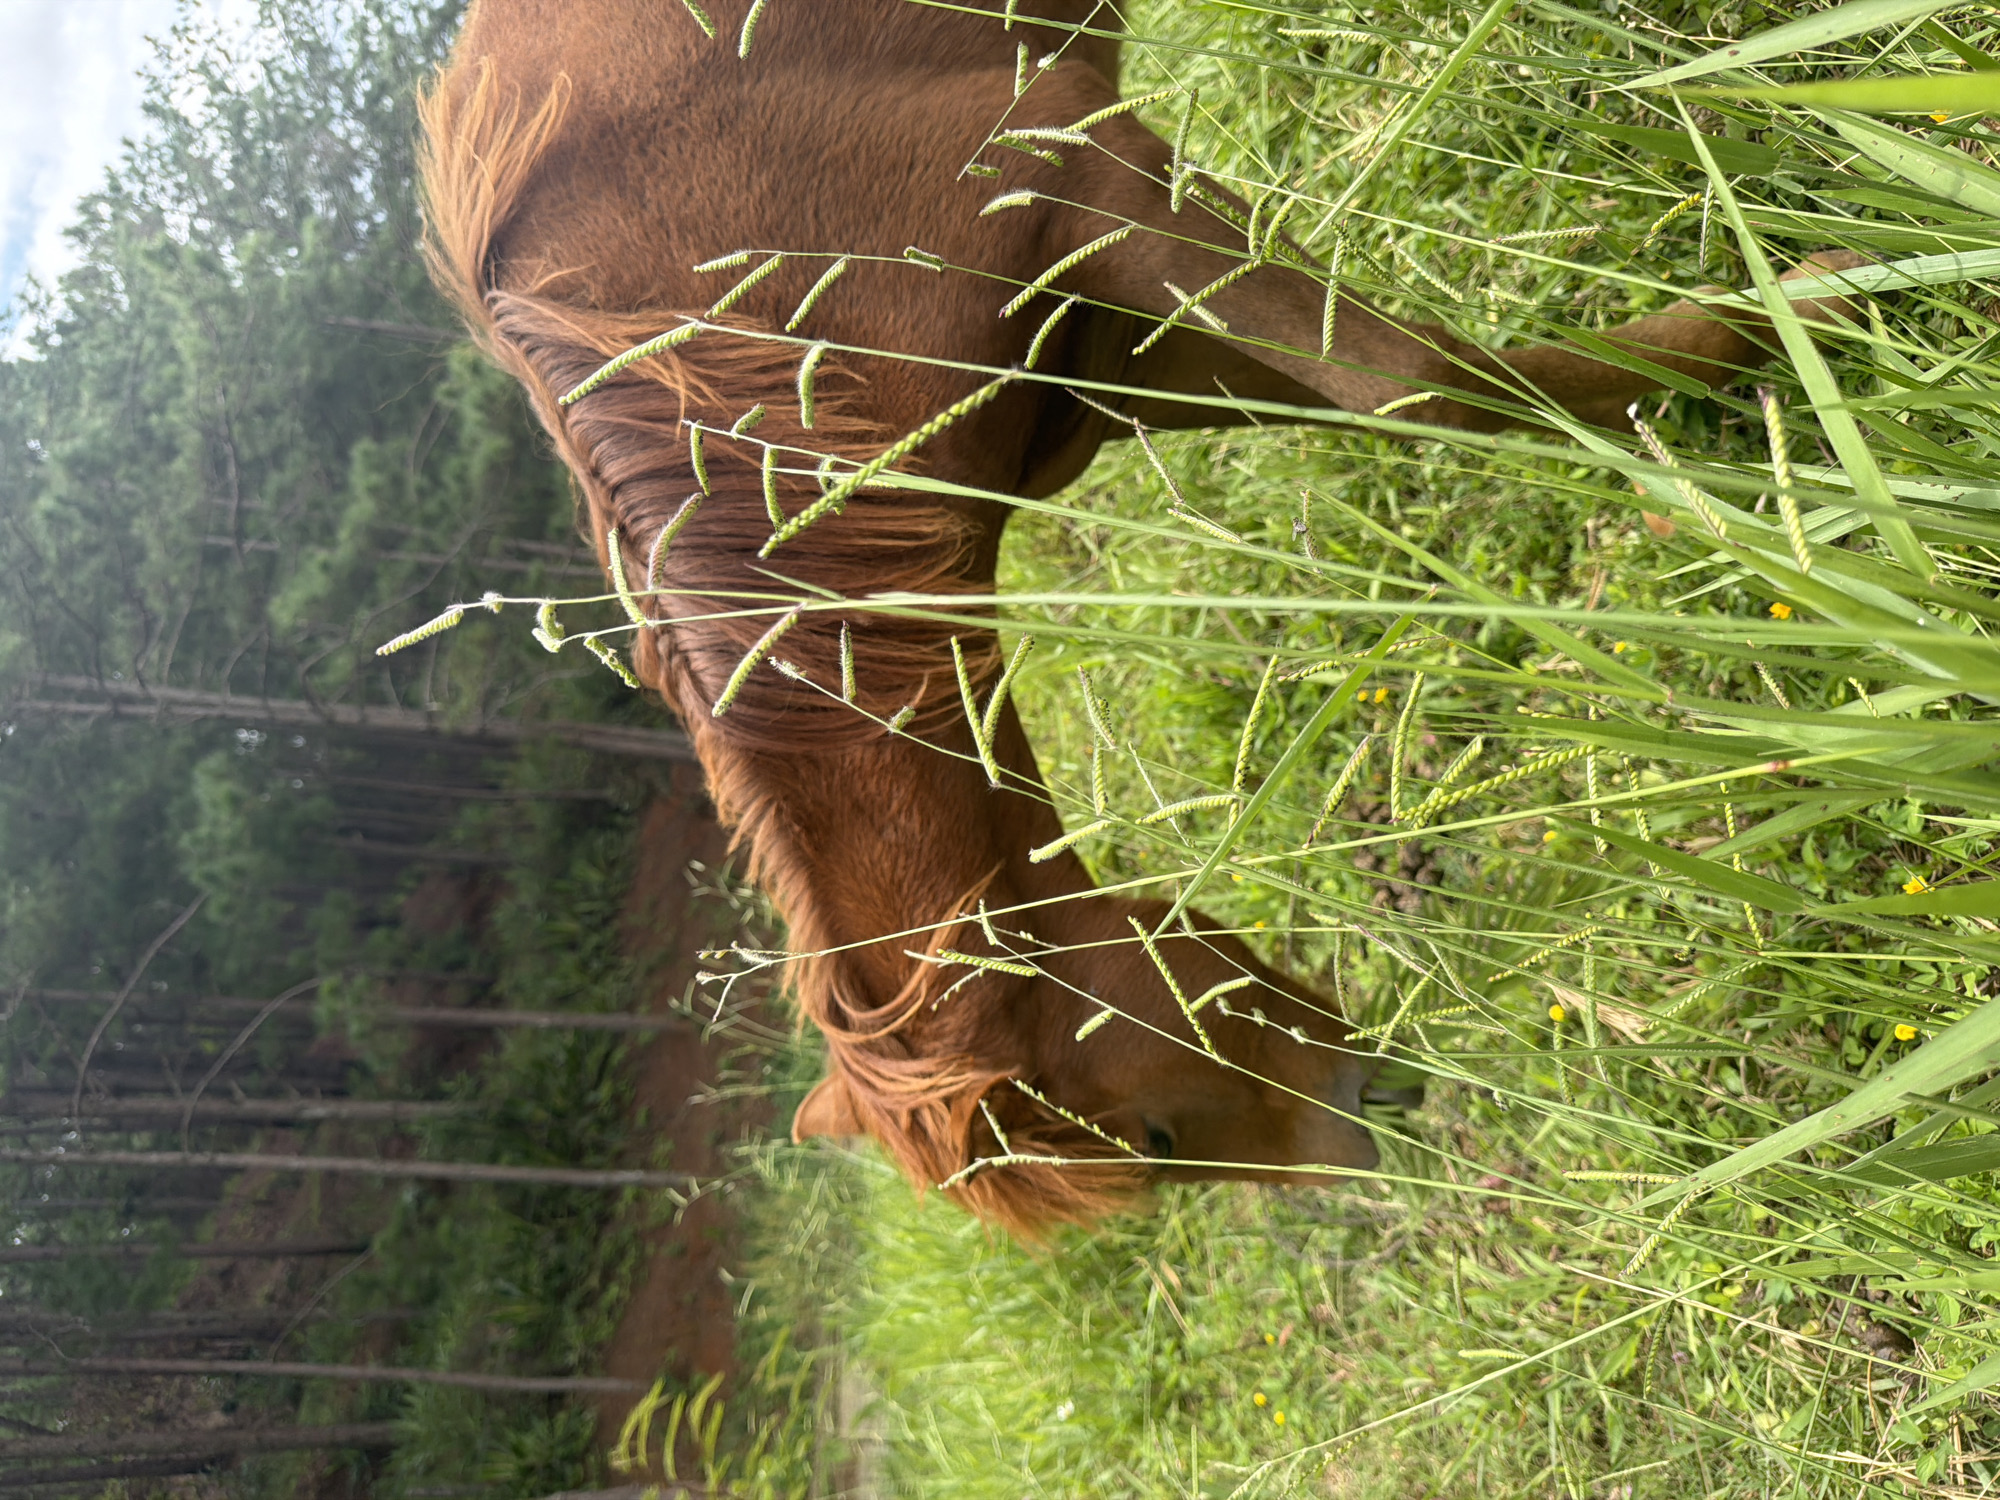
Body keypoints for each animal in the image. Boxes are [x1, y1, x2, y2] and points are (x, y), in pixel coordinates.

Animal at [418, 0, 1859, 1235]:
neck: (705, 347)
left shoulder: (1084, 174)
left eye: (1151, 1134)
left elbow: (1425, 392)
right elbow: (1400, 403)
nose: (1374, 1116)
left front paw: (1808, 305)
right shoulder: (1110, 358)